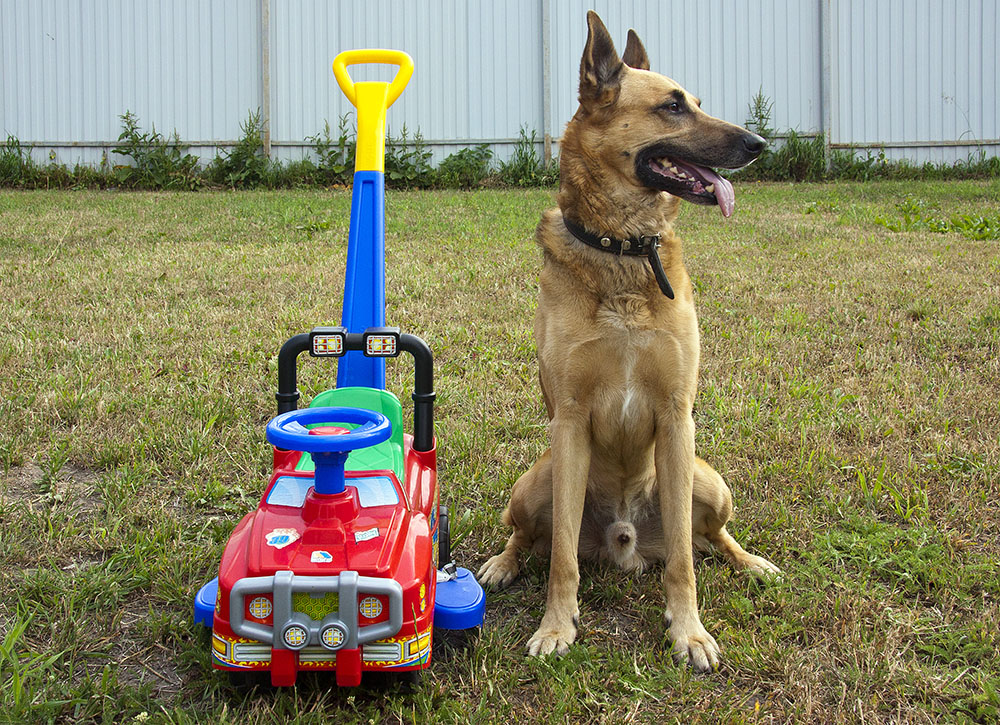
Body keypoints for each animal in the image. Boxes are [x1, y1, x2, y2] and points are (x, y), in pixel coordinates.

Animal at [478, 9, 780, 672]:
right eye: (672, 106)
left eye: (697, 102)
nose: (758, 145)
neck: (622, 248)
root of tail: (625, 541)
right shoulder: (569, 421)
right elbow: (561, 556)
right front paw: (556, 626)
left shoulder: (675, 414)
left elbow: (686, 562)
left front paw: (688, 631)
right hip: (535, 481)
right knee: (528, 536)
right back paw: (501, 564)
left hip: (706, 479)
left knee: (709, 537)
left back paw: (752, 562)